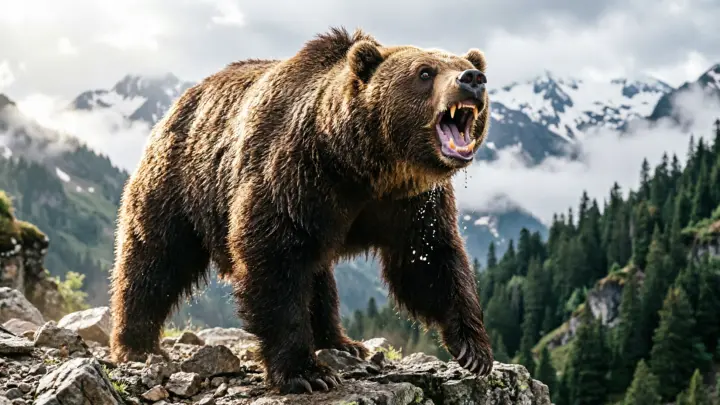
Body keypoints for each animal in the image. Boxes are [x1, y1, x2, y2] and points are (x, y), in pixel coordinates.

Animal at [109, 26, 493, 394]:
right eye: (425, 72)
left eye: (462, 64)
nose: (473, 79)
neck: (364, 166)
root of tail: (179, 104)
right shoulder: (296, 176)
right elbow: (274, 264)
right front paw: (306, 373)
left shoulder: (412, 203)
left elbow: (429, 261)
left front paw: (474, 350)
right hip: (180, 182)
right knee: (155, 259)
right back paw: (135, 345)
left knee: (318, 276)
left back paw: (342, 342)